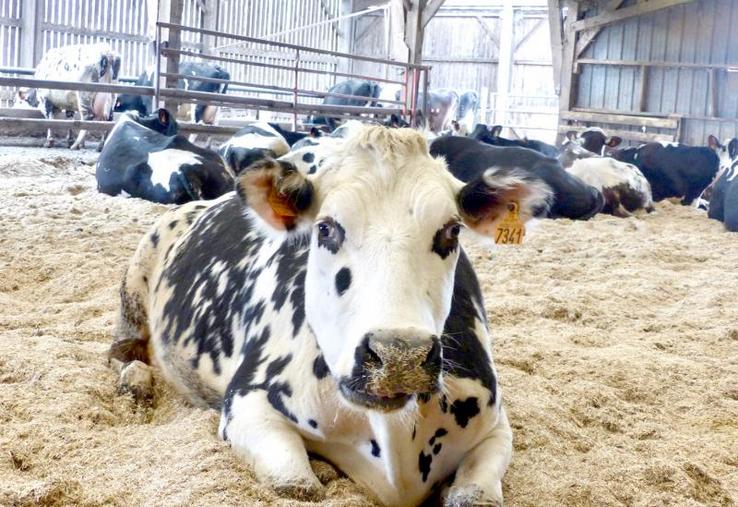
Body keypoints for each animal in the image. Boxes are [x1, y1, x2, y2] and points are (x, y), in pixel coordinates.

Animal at [109, 126, 554, 507]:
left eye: (452, 231)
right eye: (325, 228)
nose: (399, 358)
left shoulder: (495, 425)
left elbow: (475, 494)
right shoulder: (247, 402)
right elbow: (296, 484)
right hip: (139, 271)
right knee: (123, 350)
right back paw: (135, 381)